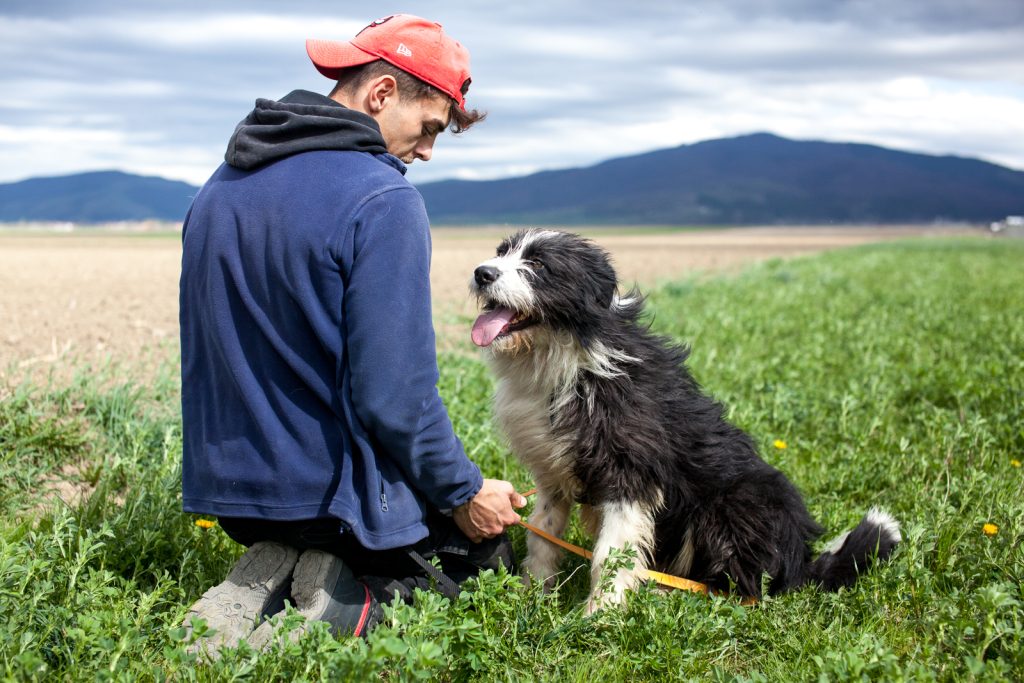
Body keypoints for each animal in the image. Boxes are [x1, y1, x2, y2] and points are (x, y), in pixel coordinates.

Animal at [468, 232, 901, 610]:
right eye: (502, 252)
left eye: (538, 263)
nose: (481, 272)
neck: (568, 359)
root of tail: (799, 565)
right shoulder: (553, 475)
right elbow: (543, 536)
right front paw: (532, 595)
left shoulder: (630, 472)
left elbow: (611, 553)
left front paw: (600, 614)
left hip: (738, 501)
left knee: (743, 588)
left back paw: (670, 594)